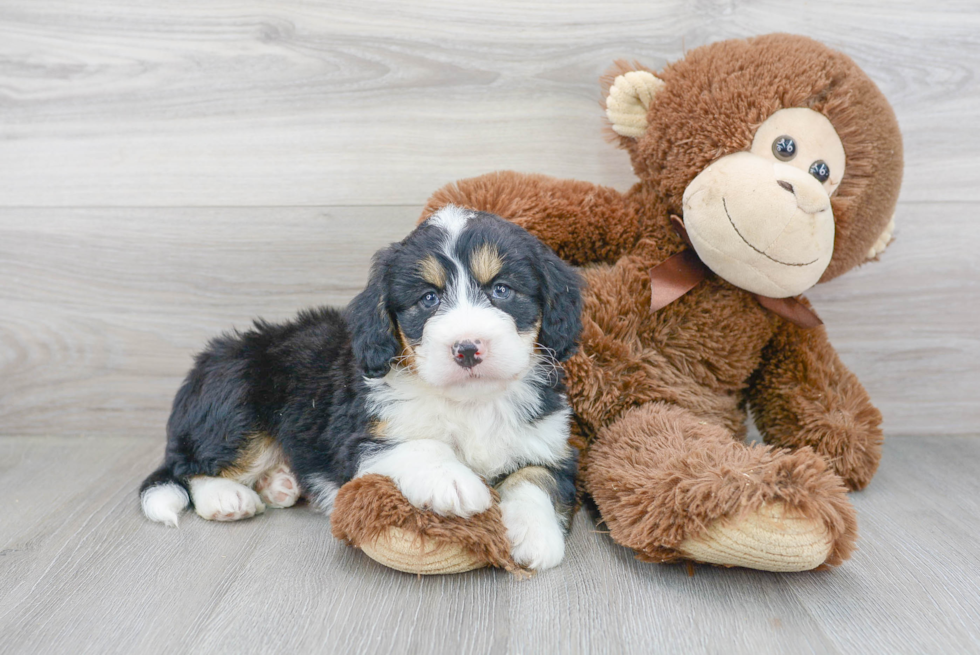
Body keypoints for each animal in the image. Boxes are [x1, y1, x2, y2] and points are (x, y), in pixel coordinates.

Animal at [139, 208, 580, 572]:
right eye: (428, 298)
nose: (467, 348)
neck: (470, 401)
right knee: (189, 466)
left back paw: (280, 484)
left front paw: (535, 537)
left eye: (502, 290)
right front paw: (454, 482)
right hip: (236, 400)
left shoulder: (548, 440)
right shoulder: (362, 436)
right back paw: (227, 498)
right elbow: (420, 445)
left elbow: (536, 478)